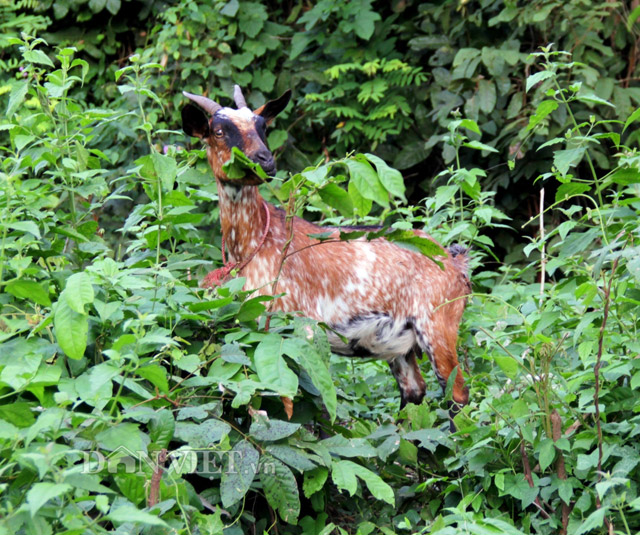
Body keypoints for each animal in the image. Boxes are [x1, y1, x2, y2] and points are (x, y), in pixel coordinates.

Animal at [181, 86, 470, 426]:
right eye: (218, 131)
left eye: (262, 126)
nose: (265, 161)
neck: (255, 245)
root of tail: (455, 261)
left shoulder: (302, 328)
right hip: (400, 345)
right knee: (414, 393)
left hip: (438, 324)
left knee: (457, 395)